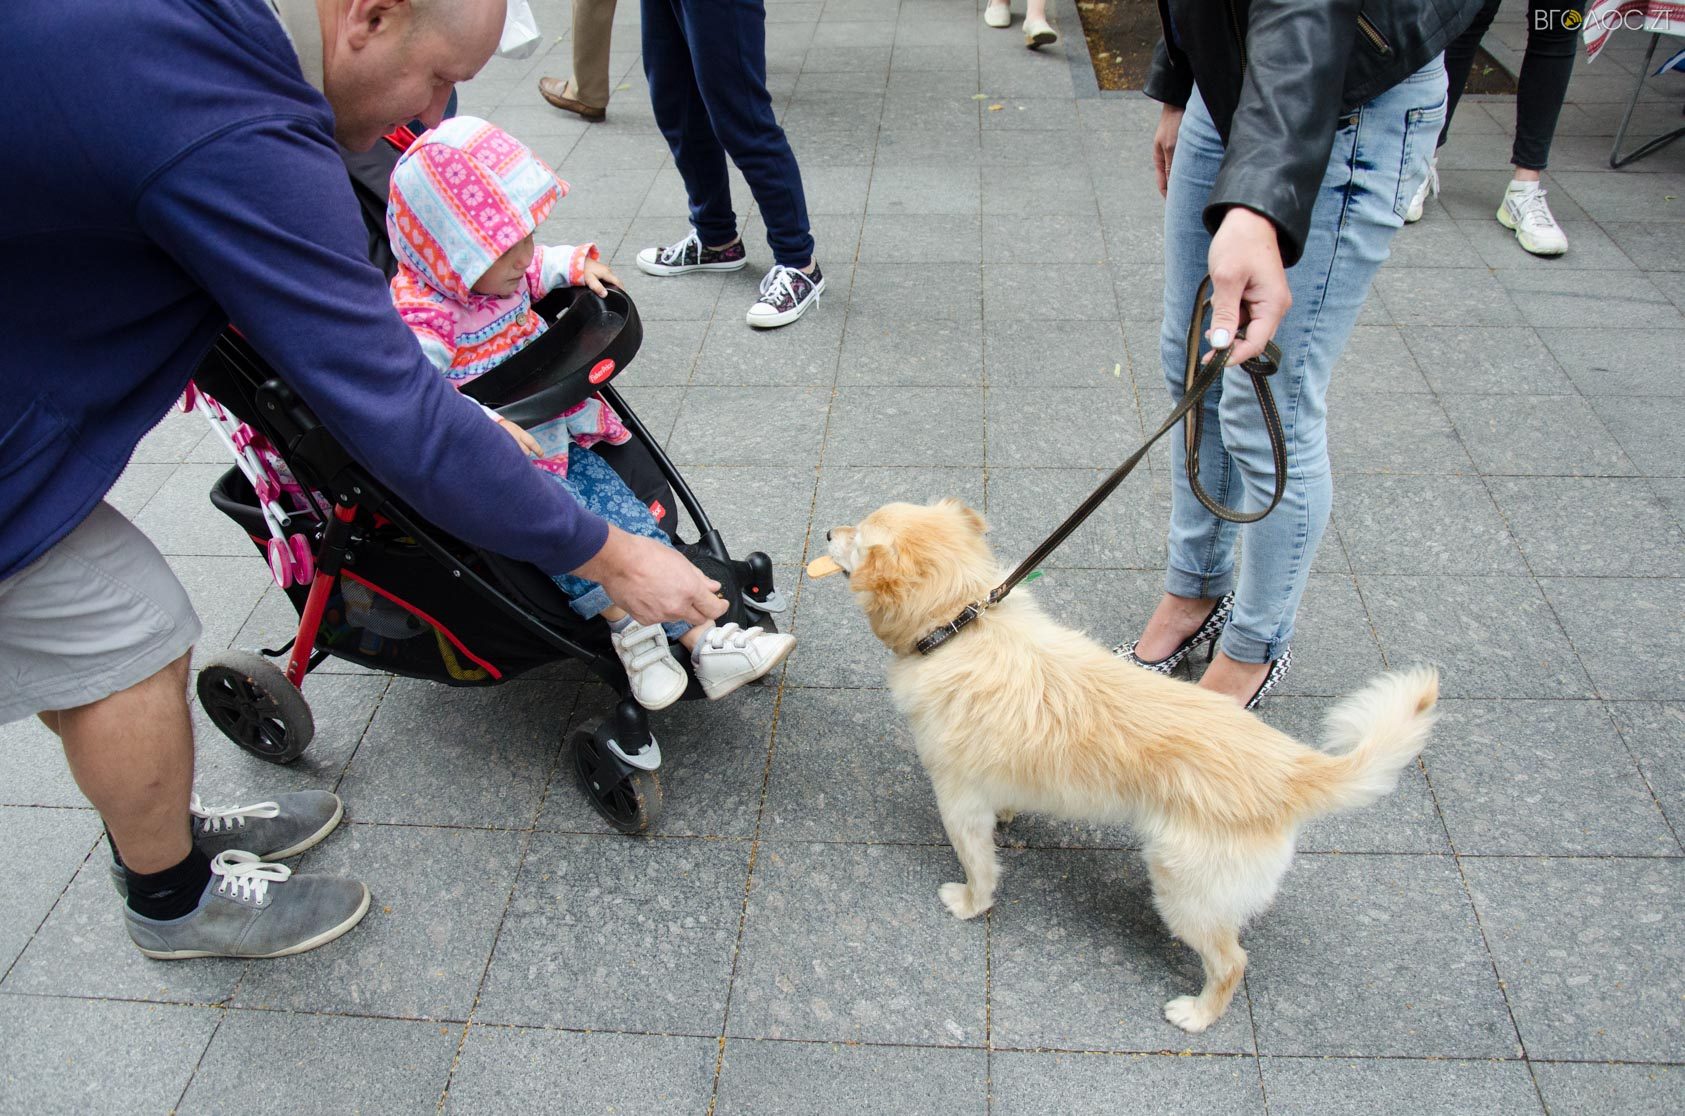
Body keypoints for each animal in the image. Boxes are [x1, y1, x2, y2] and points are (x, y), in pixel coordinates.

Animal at [824, 499, 1439, 1033]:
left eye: (858, 535)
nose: (828, 531)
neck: (960, 626)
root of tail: (1293, 770)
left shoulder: (957, 801)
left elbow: (981, 868)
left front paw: (971, 904)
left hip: (1184, 892)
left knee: (1231, 963)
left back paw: (1197, 1014)